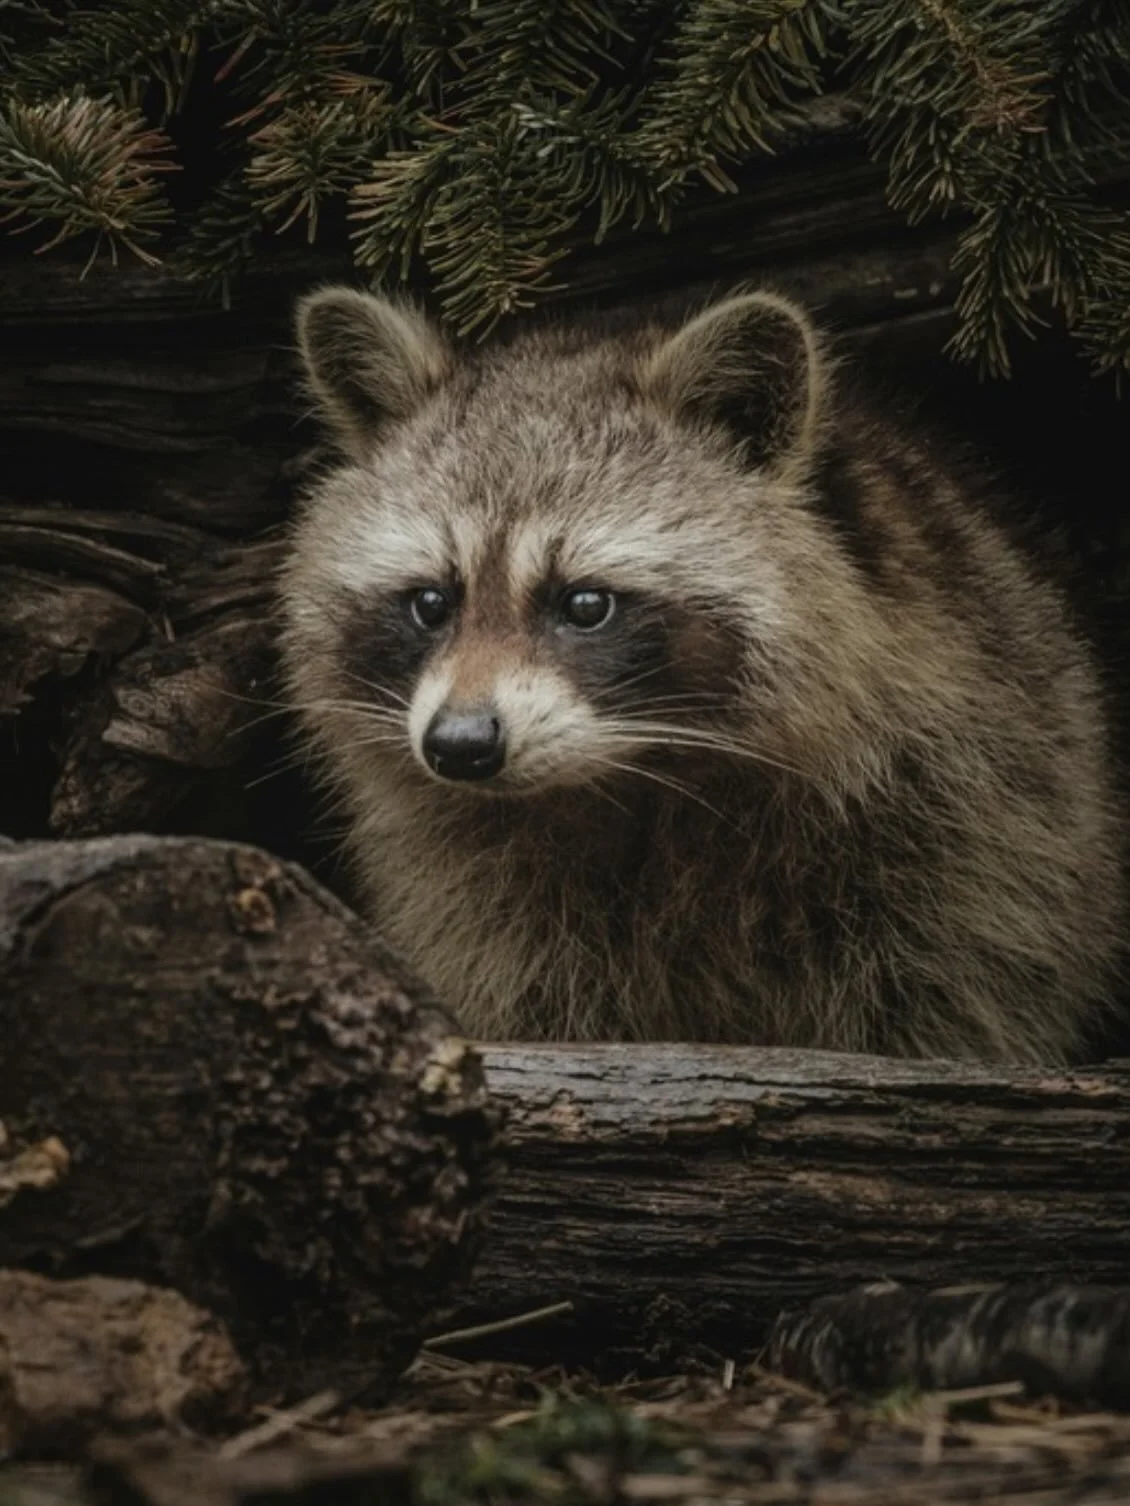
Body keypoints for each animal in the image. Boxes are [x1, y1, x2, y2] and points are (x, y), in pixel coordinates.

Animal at [280, 286, 1125, 1062]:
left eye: (585, 603)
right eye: (431, 602)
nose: (461, 744)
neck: (636, 780)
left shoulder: (975, 828)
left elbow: (954, 992)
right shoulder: (477, 891)